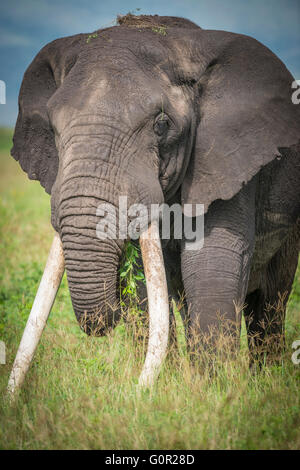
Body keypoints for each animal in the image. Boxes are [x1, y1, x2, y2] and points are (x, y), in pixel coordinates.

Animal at [7, 12, 300, 392]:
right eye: (53, 129)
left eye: (161, 124)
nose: (103, 323)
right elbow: (139, 279)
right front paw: (172, 387)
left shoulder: (228, 158)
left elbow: (212, 261)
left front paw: (210, 393)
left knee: (270, 300)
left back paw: (268, 379)